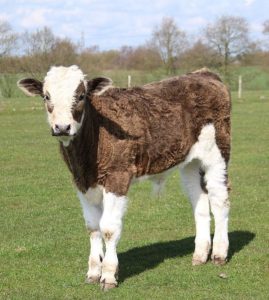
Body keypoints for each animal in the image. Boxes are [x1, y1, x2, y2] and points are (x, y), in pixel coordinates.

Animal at [17, 65, 230, 290]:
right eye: (46, 96)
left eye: (81, 95)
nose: (62, 127)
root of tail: (203, 73)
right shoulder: (81, 183)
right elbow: (93, 227)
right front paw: (93, 272)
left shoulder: (117, 178)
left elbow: (109, 228)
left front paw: (109, 275)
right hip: (191, 163)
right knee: (200, 202)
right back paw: (200, 255)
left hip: (217, 153)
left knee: (220, 200)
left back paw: (219, 253)